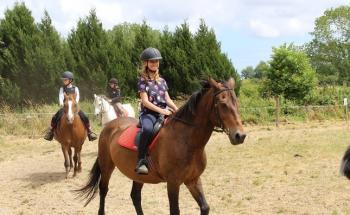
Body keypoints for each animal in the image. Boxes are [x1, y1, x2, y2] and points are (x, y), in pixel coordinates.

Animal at [76, 77, 246, 213]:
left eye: (236, 102)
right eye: (222, 103)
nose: (240, 135)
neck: (187, 141)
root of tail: (110, 126)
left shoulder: (193, 179)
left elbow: (205, 207)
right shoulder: (173, 183)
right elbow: (175, 211)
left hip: (137, 174)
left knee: (135, 197)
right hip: (107, 166)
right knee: (103, 190)